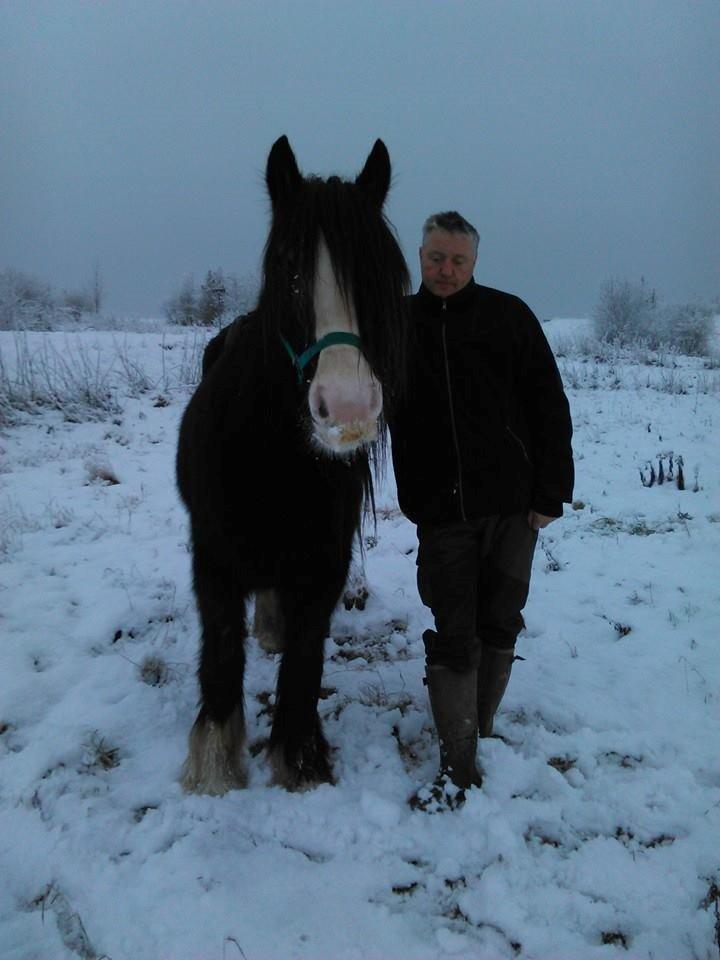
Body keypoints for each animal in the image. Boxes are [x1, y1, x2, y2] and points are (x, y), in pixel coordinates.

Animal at [175, 137, 408, 796]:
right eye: (289, 270)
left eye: (378, 275)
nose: (349, 409)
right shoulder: (213, 558)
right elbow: (222, 649)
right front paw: (214, 768)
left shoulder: (324, 563)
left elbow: (306, 656)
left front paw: (298, 759)